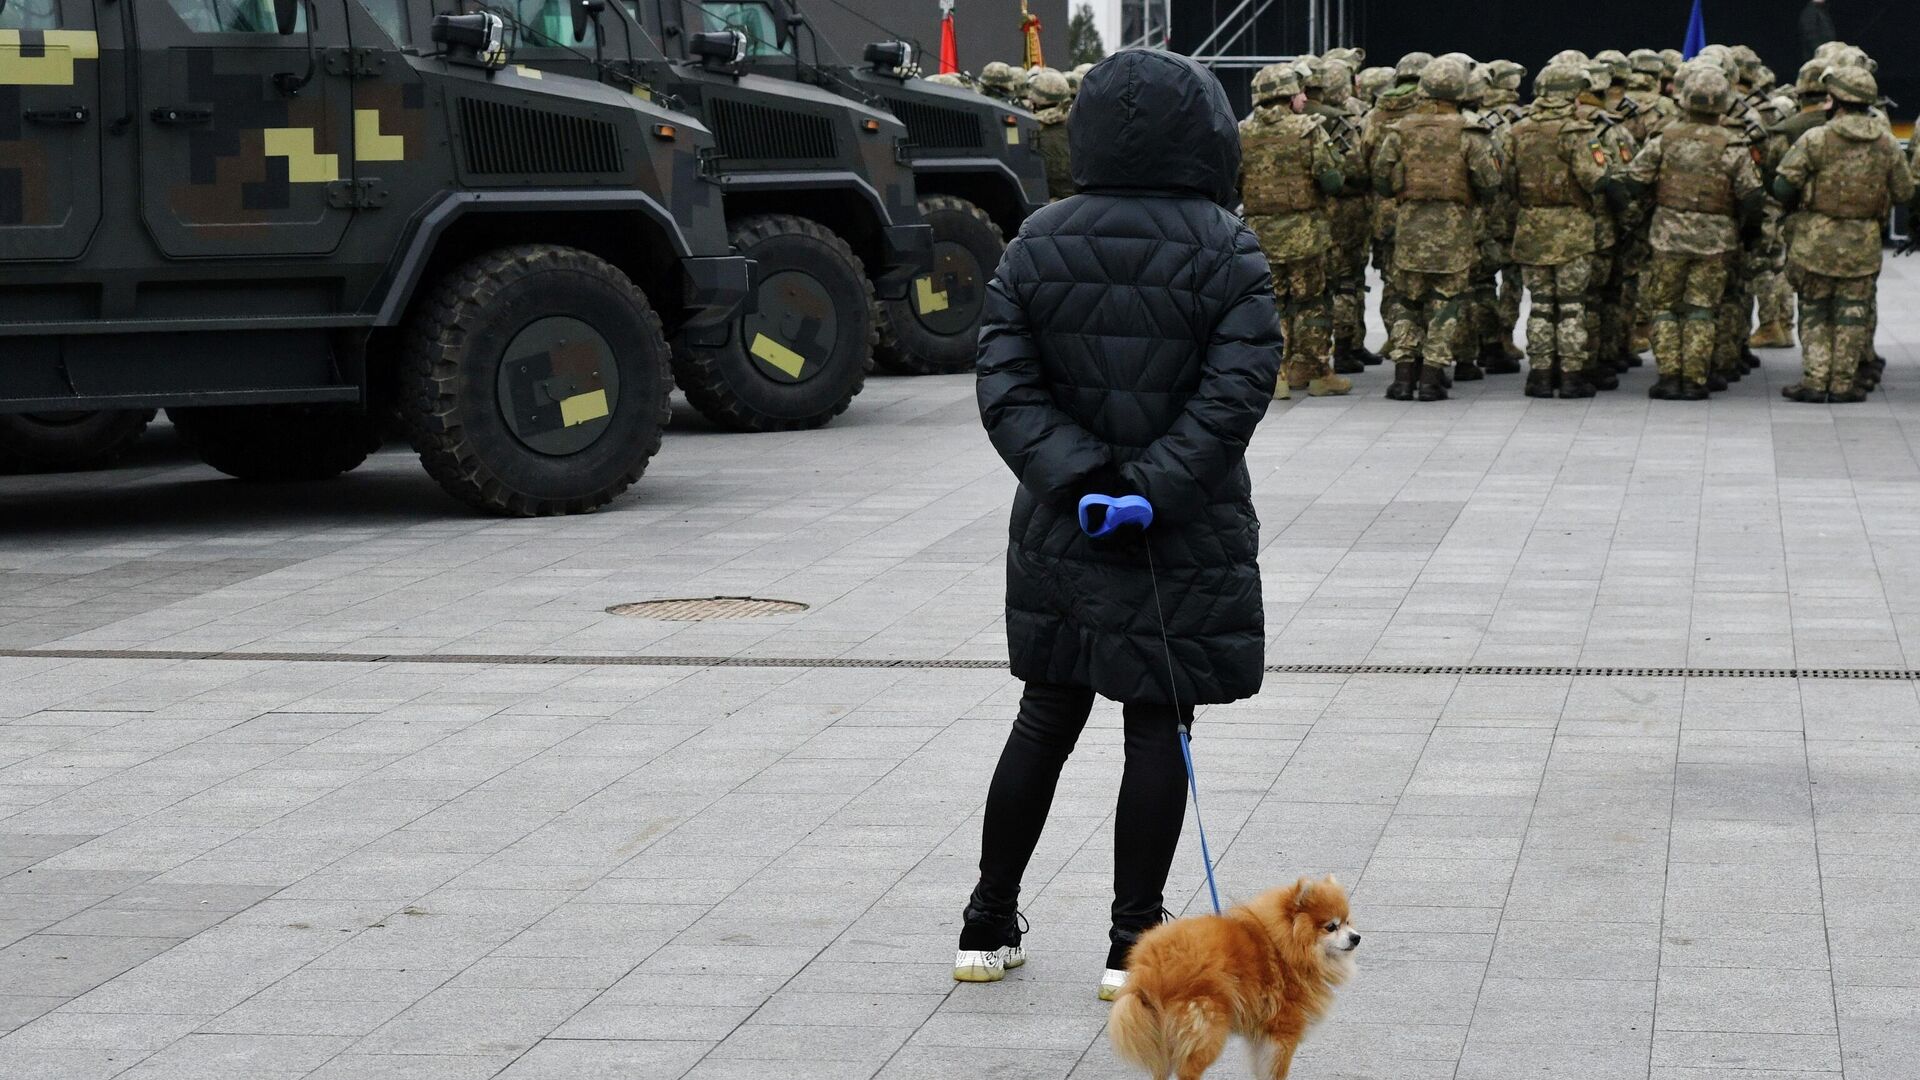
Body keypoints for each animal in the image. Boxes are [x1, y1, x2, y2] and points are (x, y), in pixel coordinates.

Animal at [1105, 868, 1359, 1068]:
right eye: (1331, 926)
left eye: (1348, 922)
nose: (1356, 937)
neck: (1284, 947)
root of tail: (1150, 966)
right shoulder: (1284, 1032)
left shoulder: (1263, 1038)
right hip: (1208, 1026)